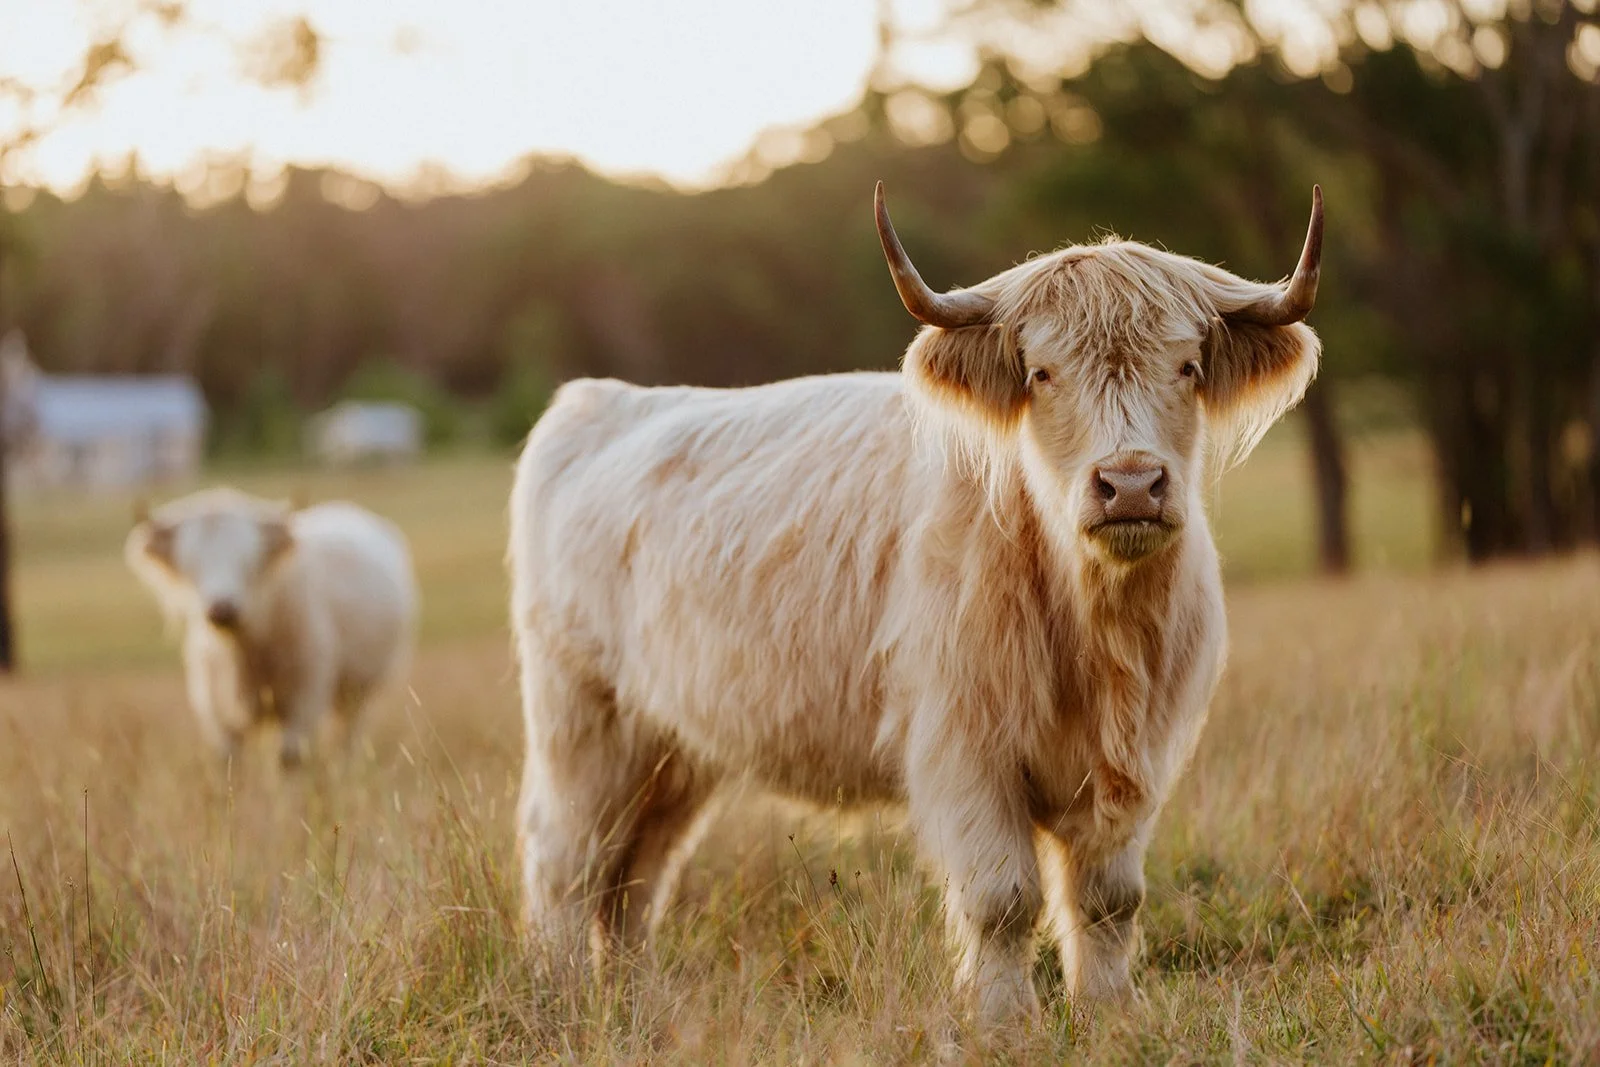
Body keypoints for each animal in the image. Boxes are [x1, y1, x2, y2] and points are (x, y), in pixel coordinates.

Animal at [127, 488, 418, 769]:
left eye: (248, 558)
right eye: (191, 562)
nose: (222, 608)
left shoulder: (304, 701)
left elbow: (290, 758)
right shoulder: (218, 713)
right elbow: (230, 761)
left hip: (358, 693)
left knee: (346, 740)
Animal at [508, 183, 1323, 1025]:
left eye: (1188, 365)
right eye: (1041, 373)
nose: (1130, 483)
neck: (1098, 632)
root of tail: (599, 402)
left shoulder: (1138, 759)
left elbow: (1109, 898)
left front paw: (1108, 1012)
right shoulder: (963, 745)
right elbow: (1003, 897)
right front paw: (1004, 1021)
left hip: (671, 741)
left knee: (638, 866)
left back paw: (634, 992)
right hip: (582, 715)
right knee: (566, 856)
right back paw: (561, 991)